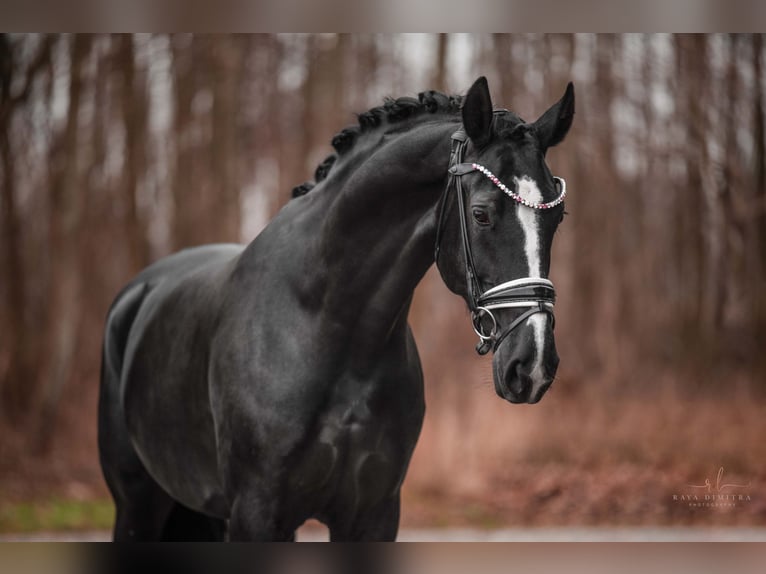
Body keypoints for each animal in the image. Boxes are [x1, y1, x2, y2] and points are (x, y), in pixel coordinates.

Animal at [97, 77, 576, 544]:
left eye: (557, 218)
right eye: (480, 214)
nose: (532, 364)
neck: (329, 331)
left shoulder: (373, 514)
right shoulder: (256, 514)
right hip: (138, 505)